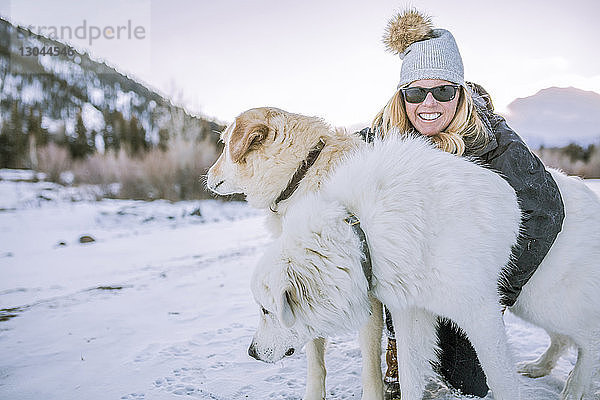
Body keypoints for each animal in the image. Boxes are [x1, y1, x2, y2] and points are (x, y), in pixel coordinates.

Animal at [248, 135, 600, 400]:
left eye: (266, 310)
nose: (251, 353)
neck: (362, 230)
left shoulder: (481, 314)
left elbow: (500, 381)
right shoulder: (411, 312)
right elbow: (409, 374)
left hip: (545, 303)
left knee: (589, 338)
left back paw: (575, 386)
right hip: (533, 305)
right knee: (565, 339)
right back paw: (540, 368)